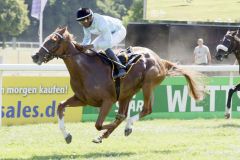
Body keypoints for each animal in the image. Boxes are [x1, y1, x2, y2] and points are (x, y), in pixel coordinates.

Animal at [31, 26, 204, 144]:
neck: (85, 69)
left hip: (148, 85)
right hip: (127, 93)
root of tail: (161, 60)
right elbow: (60, 106)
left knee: (145, 110)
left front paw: (106, 129)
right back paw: (108, 133)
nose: (35, 56)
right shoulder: (82, 99)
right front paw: (67, 136)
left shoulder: (108, 100)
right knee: (124, 113)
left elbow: (99, 124)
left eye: (53, 40)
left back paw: (126, 127)